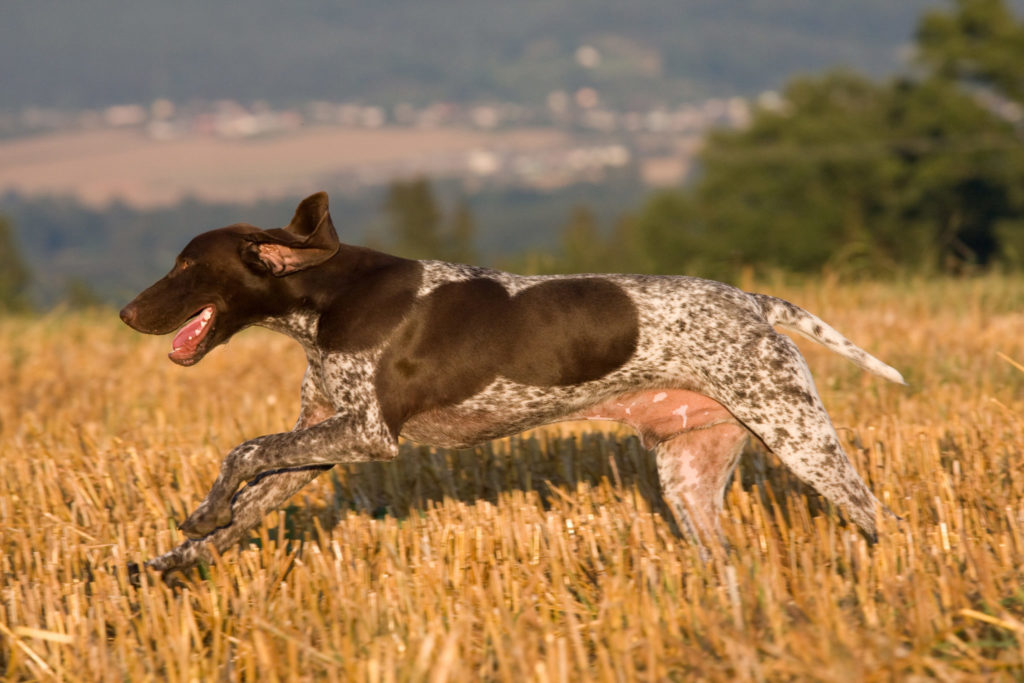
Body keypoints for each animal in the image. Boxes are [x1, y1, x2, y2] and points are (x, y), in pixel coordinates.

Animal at [117, 192, 905, 577]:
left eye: (187, 266)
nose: (125, 312)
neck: (326, 299)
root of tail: (755, 302)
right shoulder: (323, 441)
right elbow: (245, 505)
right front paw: (176, 553)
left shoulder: (368, 434)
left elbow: (244, 451)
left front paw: (203, 512)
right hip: (689, 476)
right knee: (724, 555)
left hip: (799, 437)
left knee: (877, 516)